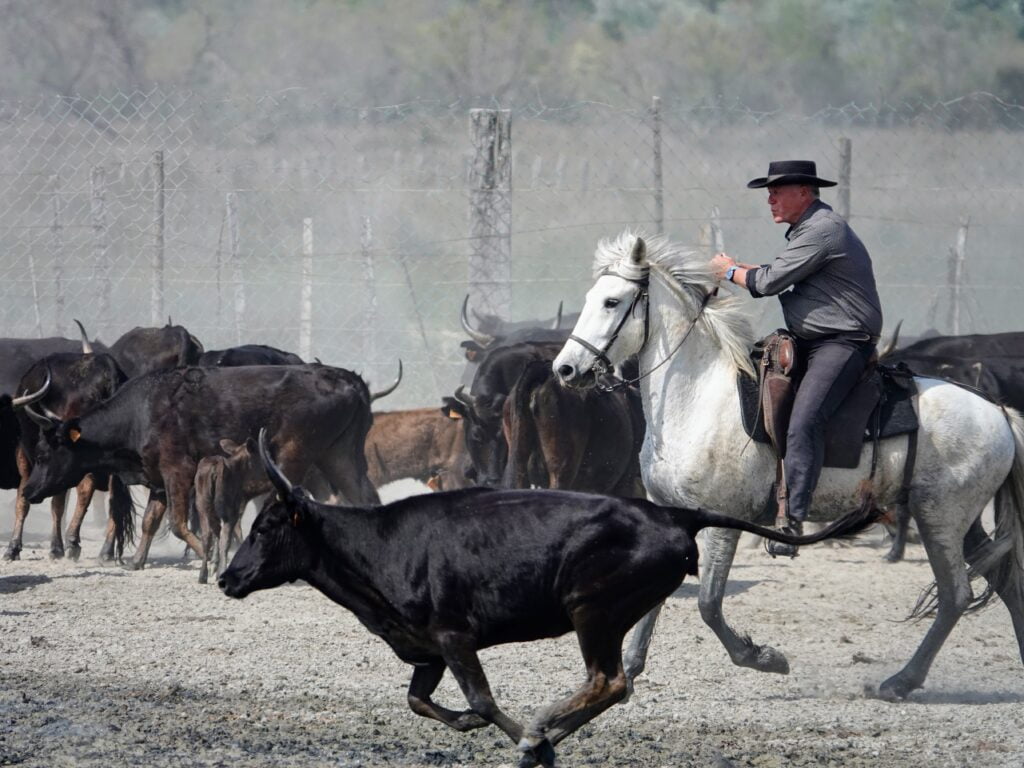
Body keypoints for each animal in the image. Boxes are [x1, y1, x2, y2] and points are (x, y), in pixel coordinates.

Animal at [24, 366, 385, 573]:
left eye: (43, 454)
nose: (27, 490)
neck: (141, 412)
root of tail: (350, 382)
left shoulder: (178, 470)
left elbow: (178, 523)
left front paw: (207, 555)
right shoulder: (158, 477)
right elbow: (150, 520)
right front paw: (137, 560)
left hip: (293, 455)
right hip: (341, 456)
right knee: (366, 497)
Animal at [220, 436, 876, 768]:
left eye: (267, 526)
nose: (227, 579)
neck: (379, 546)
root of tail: (672, 514)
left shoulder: (455, 637)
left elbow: (481, 701)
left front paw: (524, 739)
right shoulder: (426, 650)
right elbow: (419, 701)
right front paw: (492, 733)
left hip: (594, 610)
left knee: (610, 680)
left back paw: (542, 732)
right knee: (613, 685)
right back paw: (550, 735)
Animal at [552, 231, 1024, 700]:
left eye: (612, 301)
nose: (566, 369)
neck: (699, 395)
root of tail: (999, 412)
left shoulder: (723, 520)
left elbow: (709, 604)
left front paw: (763, 657)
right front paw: (630, 672)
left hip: (940, 518)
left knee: (956, 594)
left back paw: (900, 681)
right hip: (960, 521)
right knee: (1005, 584)